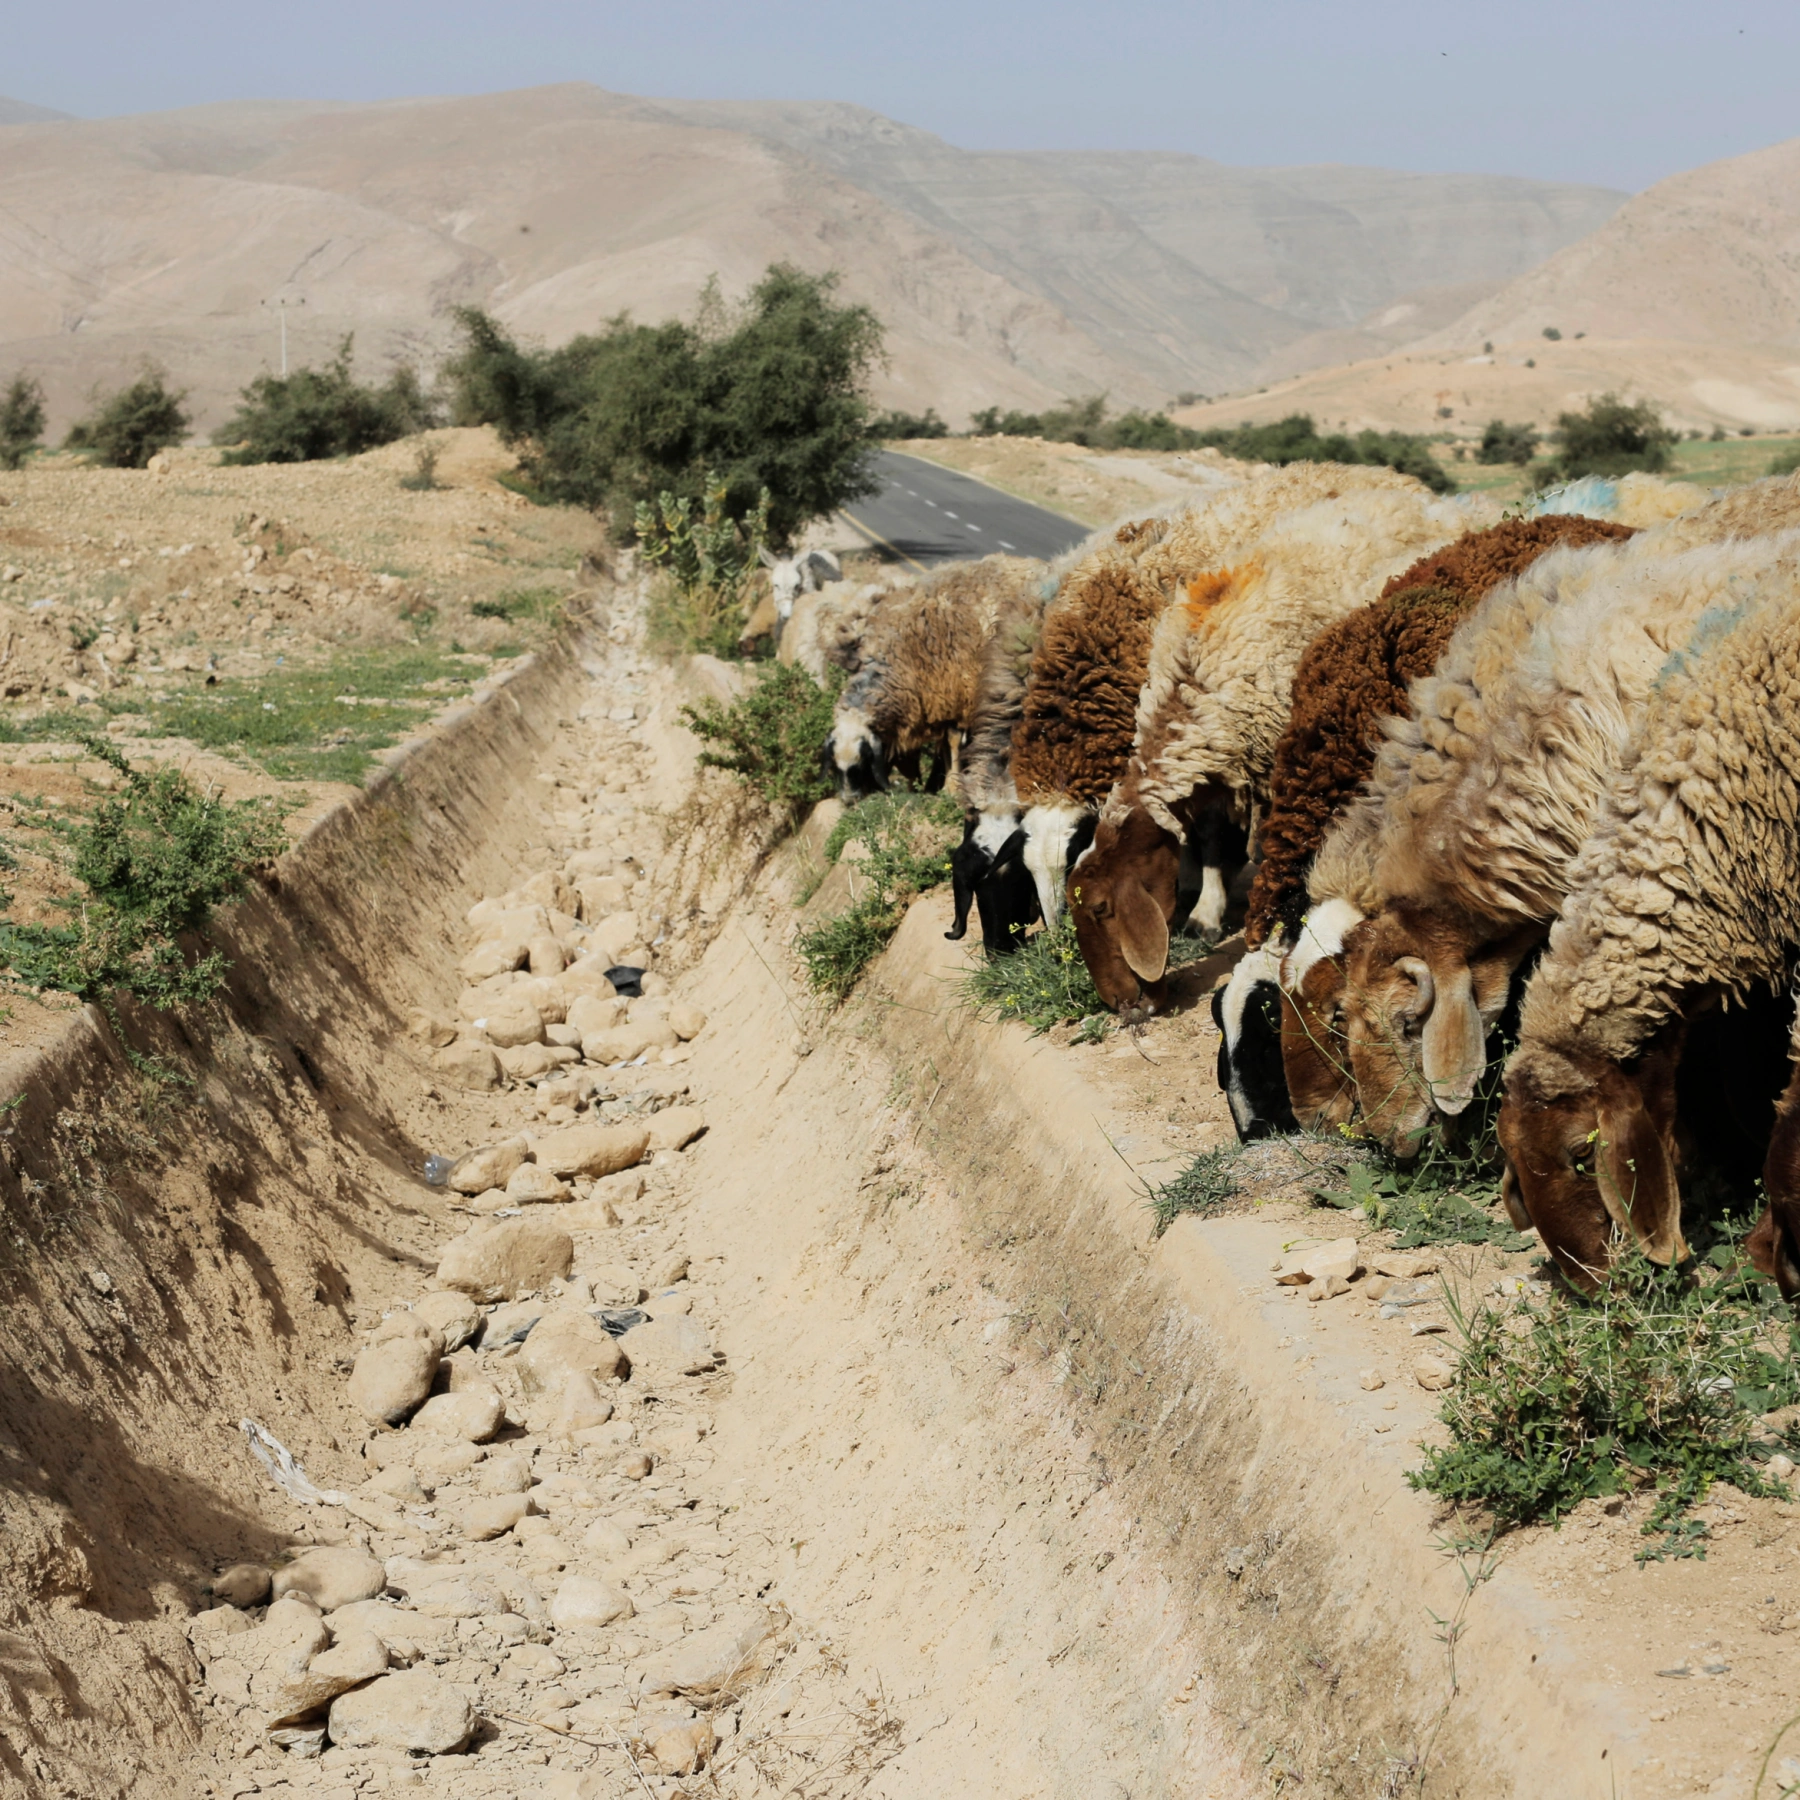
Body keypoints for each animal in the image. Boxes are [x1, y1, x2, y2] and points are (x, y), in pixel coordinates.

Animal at [820, 550, 1044, 799]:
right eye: (835, 768)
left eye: (861, 763)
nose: (849, 800)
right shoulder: (933, 705)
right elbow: (937, 746)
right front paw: (933, 784)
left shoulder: (957, 697)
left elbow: (953, 742)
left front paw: (952, 787)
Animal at [1058, 464, 1483, 1022]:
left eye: (1103, 908)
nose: (1122, 1006)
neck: (1191, 678)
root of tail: (1424, 494)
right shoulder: (1227, 768)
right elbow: (1210, 838)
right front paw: (1207, 910)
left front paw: (1219, 918)